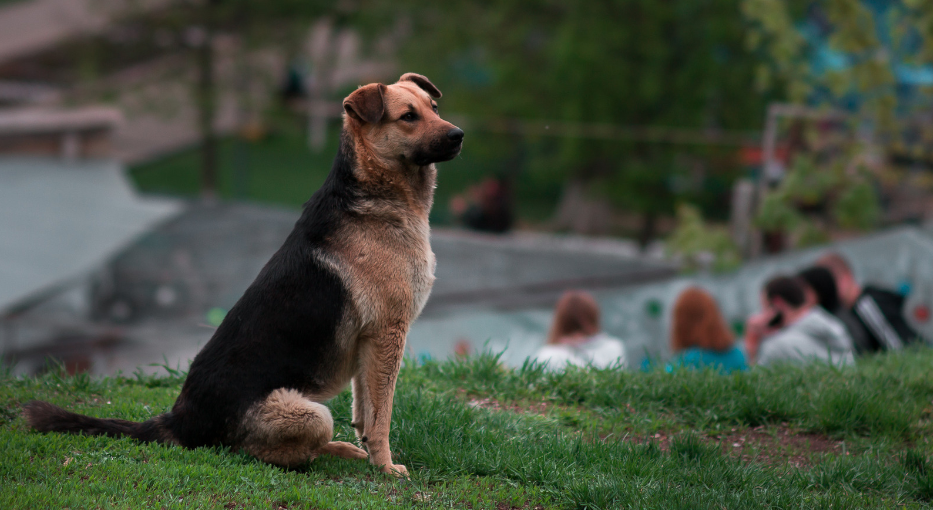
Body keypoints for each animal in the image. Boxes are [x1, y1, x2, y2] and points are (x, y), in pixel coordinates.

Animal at [27, 72, 464, 478]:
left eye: (434, 108)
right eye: (408, 117)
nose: (459, 135)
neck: (375, 192)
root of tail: (179, 421)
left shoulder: (368, 342)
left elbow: (366, 410)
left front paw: (372, 455)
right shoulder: (388, 332)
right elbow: (381, 416)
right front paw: (386, 467)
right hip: (311, 413)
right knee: (265, 452)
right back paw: (332, 453)